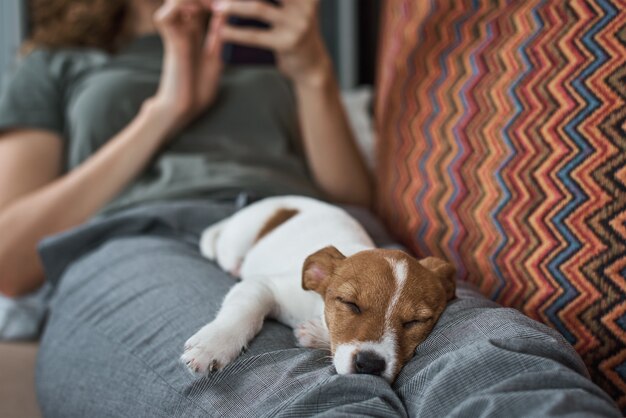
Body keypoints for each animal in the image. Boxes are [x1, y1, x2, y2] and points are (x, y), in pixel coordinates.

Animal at [180, 196, 454, 382]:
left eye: (415, 322)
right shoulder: (264, 286)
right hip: (239, 239)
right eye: (350, 304)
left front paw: (314, 334)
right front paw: (213, 345)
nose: (370, 365)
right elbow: (243, 312)